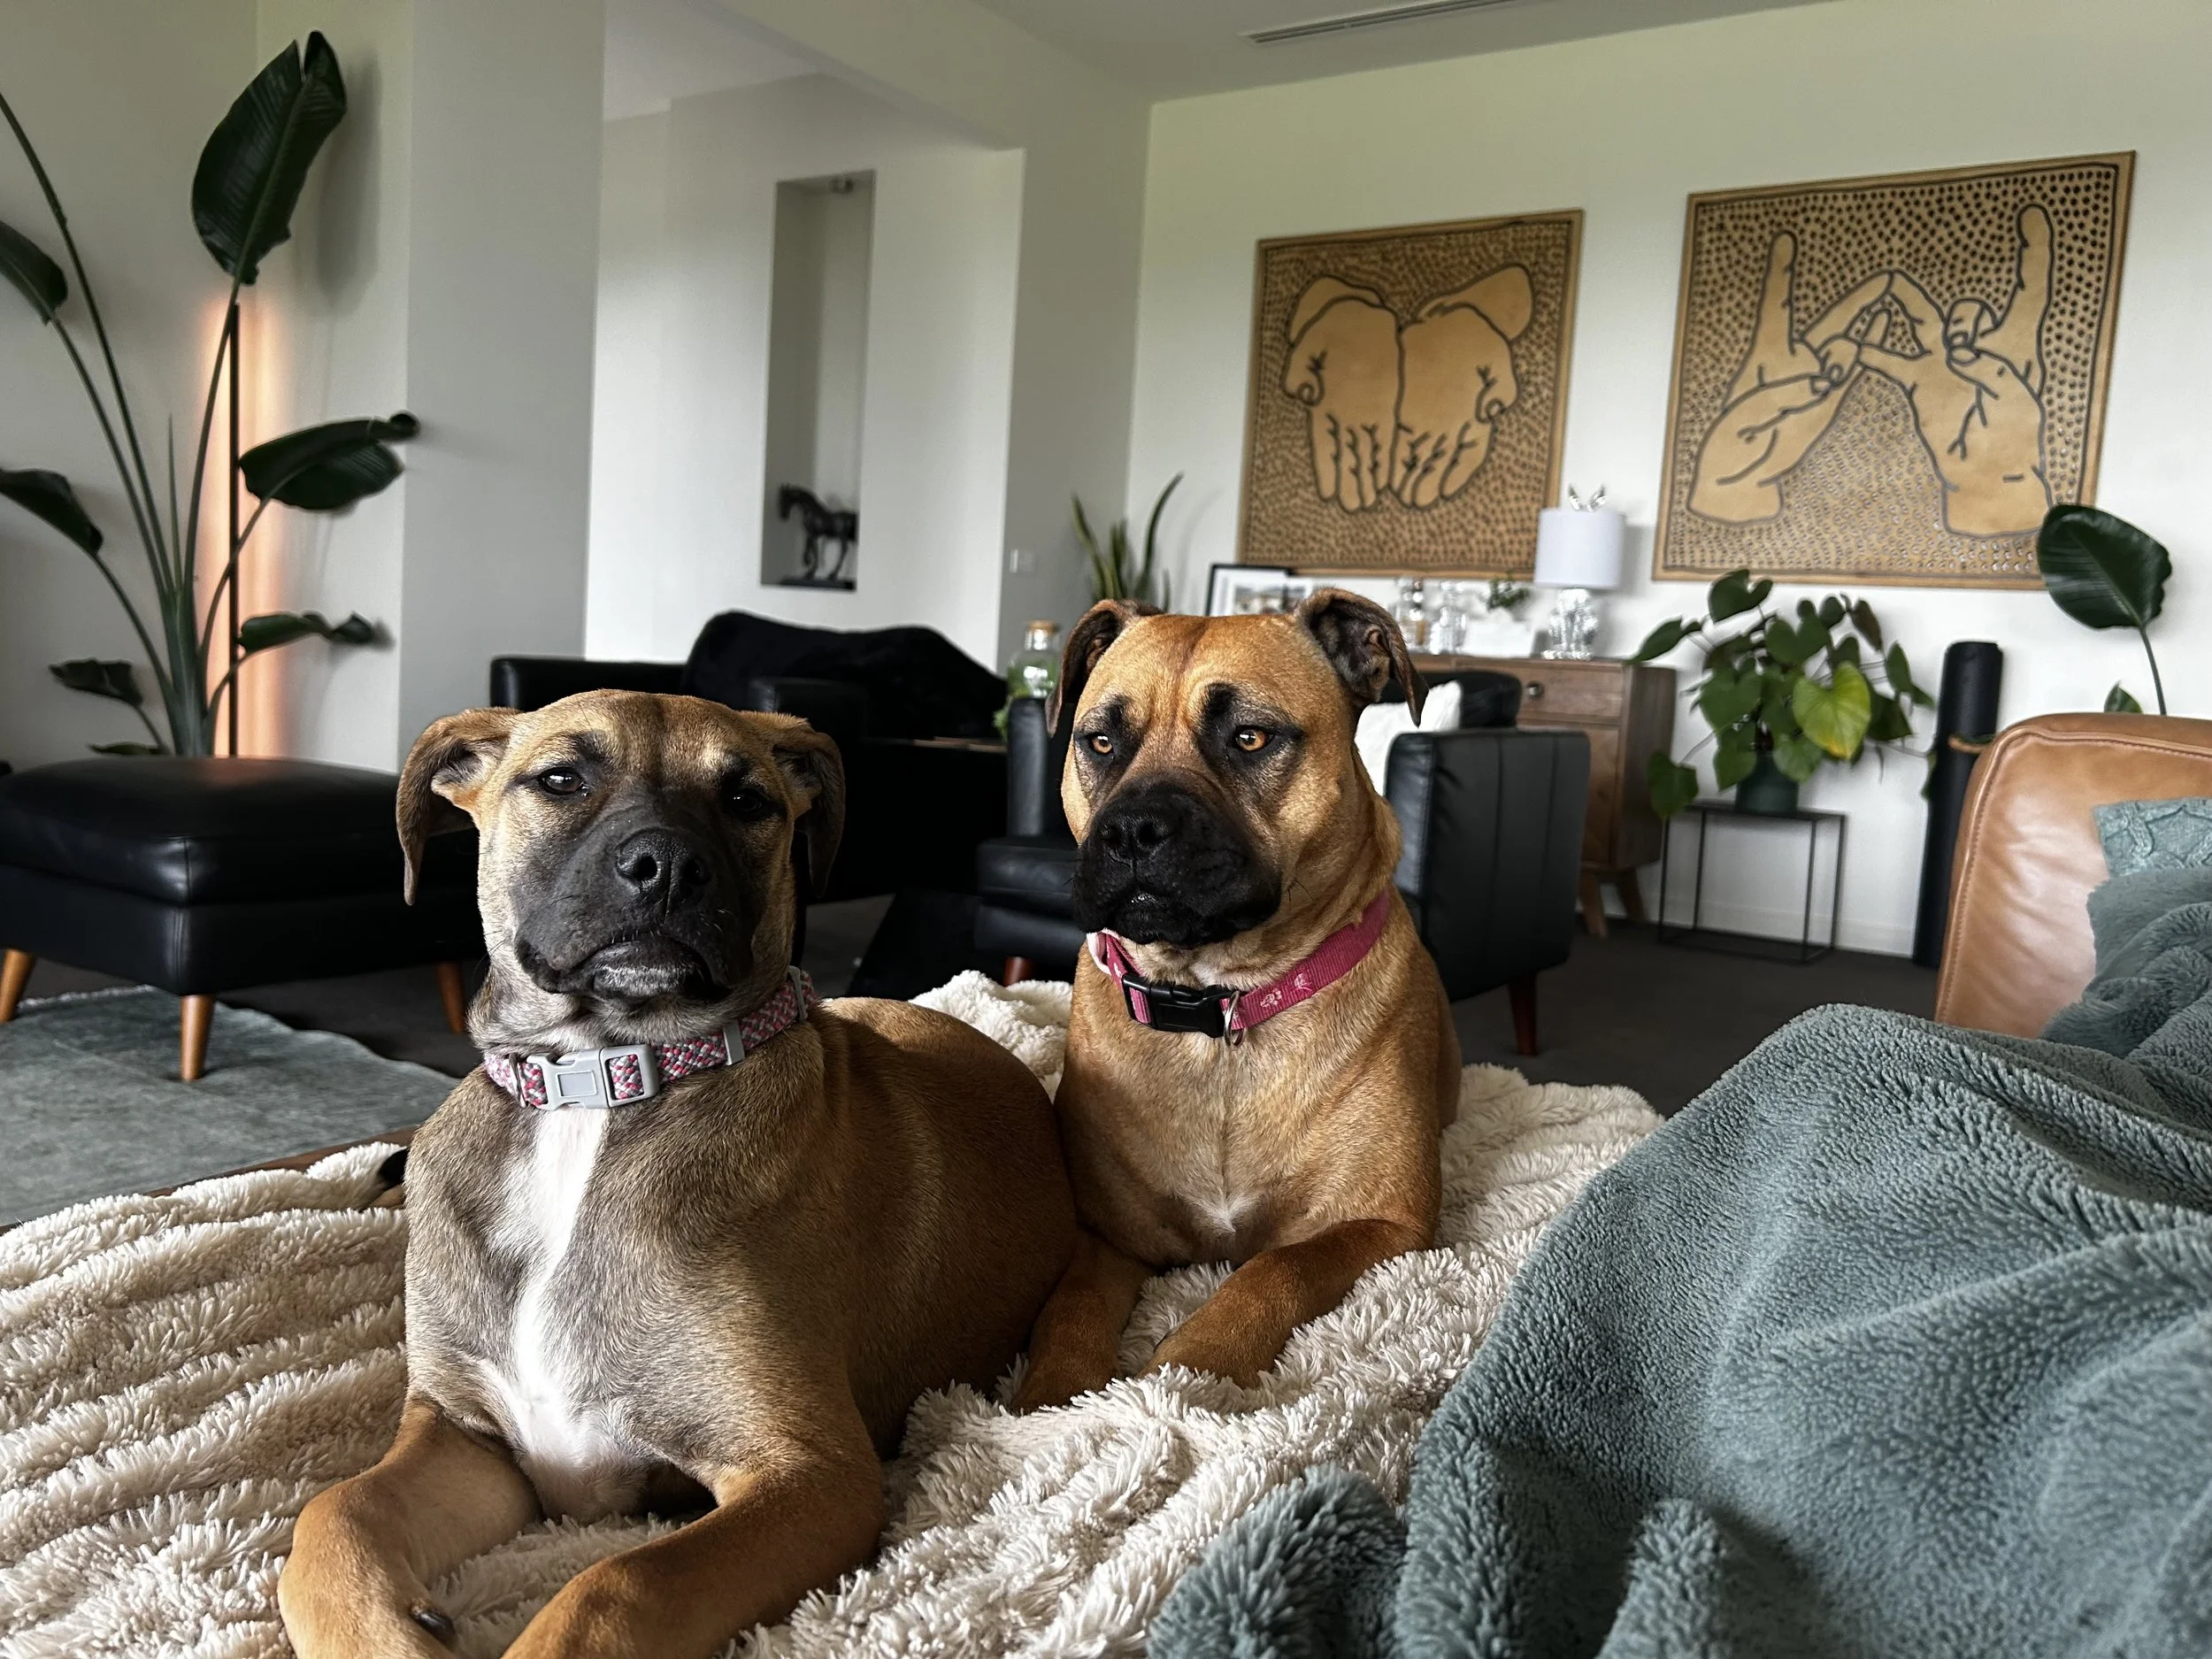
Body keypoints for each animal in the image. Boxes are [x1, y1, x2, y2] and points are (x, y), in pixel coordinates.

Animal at [279, 691, 1076, 1659]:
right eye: (560, 779)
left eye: (747, 799)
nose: (665, 868)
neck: (598, 1086)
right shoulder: (468, 1436)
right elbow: (333, 1516)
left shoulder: (809, 1471)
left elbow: (615, 1586)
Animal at [1013, 591, 1460, 1409]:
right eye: (1100, 742)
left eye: (1250, 737)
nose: (1132, 829)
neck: (1216, 1006)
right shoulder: (1103, 1232)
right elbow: (1070, 1306)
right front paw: (1051, 1399)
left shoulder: (1384, 1225)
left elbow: (1275, 1268)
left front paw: (1195, 1362)